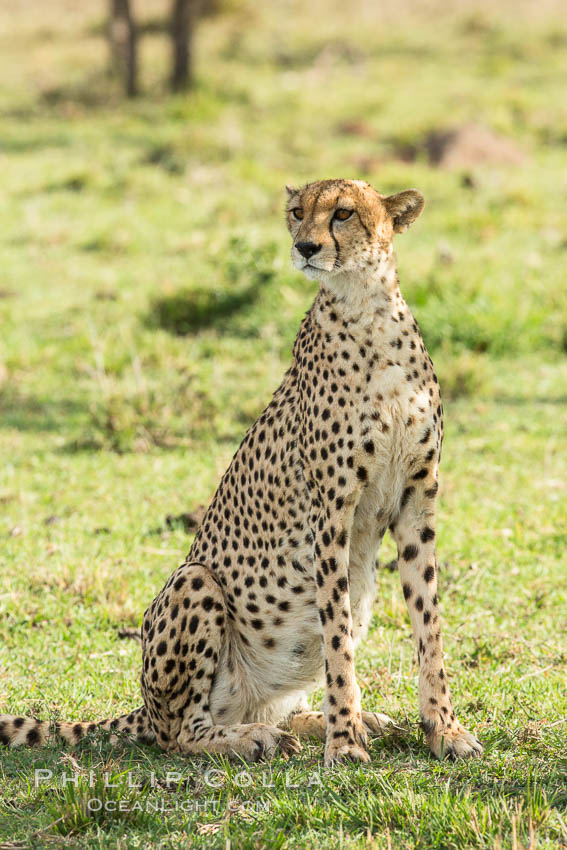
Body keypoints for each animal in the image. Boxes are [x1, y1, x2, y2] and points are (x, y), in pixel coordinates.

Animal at [1, 177, 484, 760]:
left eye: (344, 213)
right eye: (297, 212)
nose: (305, 247)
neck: (366, 307)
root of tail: (144, 709)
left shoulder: (417, 498)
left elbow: (428, 621)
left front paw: (443, 729)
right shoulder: (331, 511)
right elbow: (338, 637)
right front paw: (345, 743)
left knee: (270, 703)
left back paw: (338, 722)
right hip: (195, 582)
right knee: (180, 733)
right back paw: (255, 738)